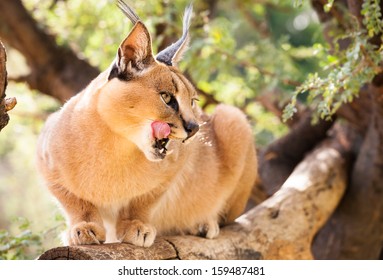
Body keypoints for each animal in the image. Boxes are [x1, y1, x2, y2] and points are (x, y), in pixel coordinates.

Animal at [36, 0, 258, 247]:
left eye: (192, 101)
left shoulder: (173, 170)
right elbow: (75, 201)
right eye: (167, 97)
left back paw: (202, 223)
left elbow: (143, 200)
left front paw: (136, 225)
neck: (116, 146)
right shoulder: (47, 163)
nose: (195, 128)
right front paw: (83, 227)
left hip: (233, 118)